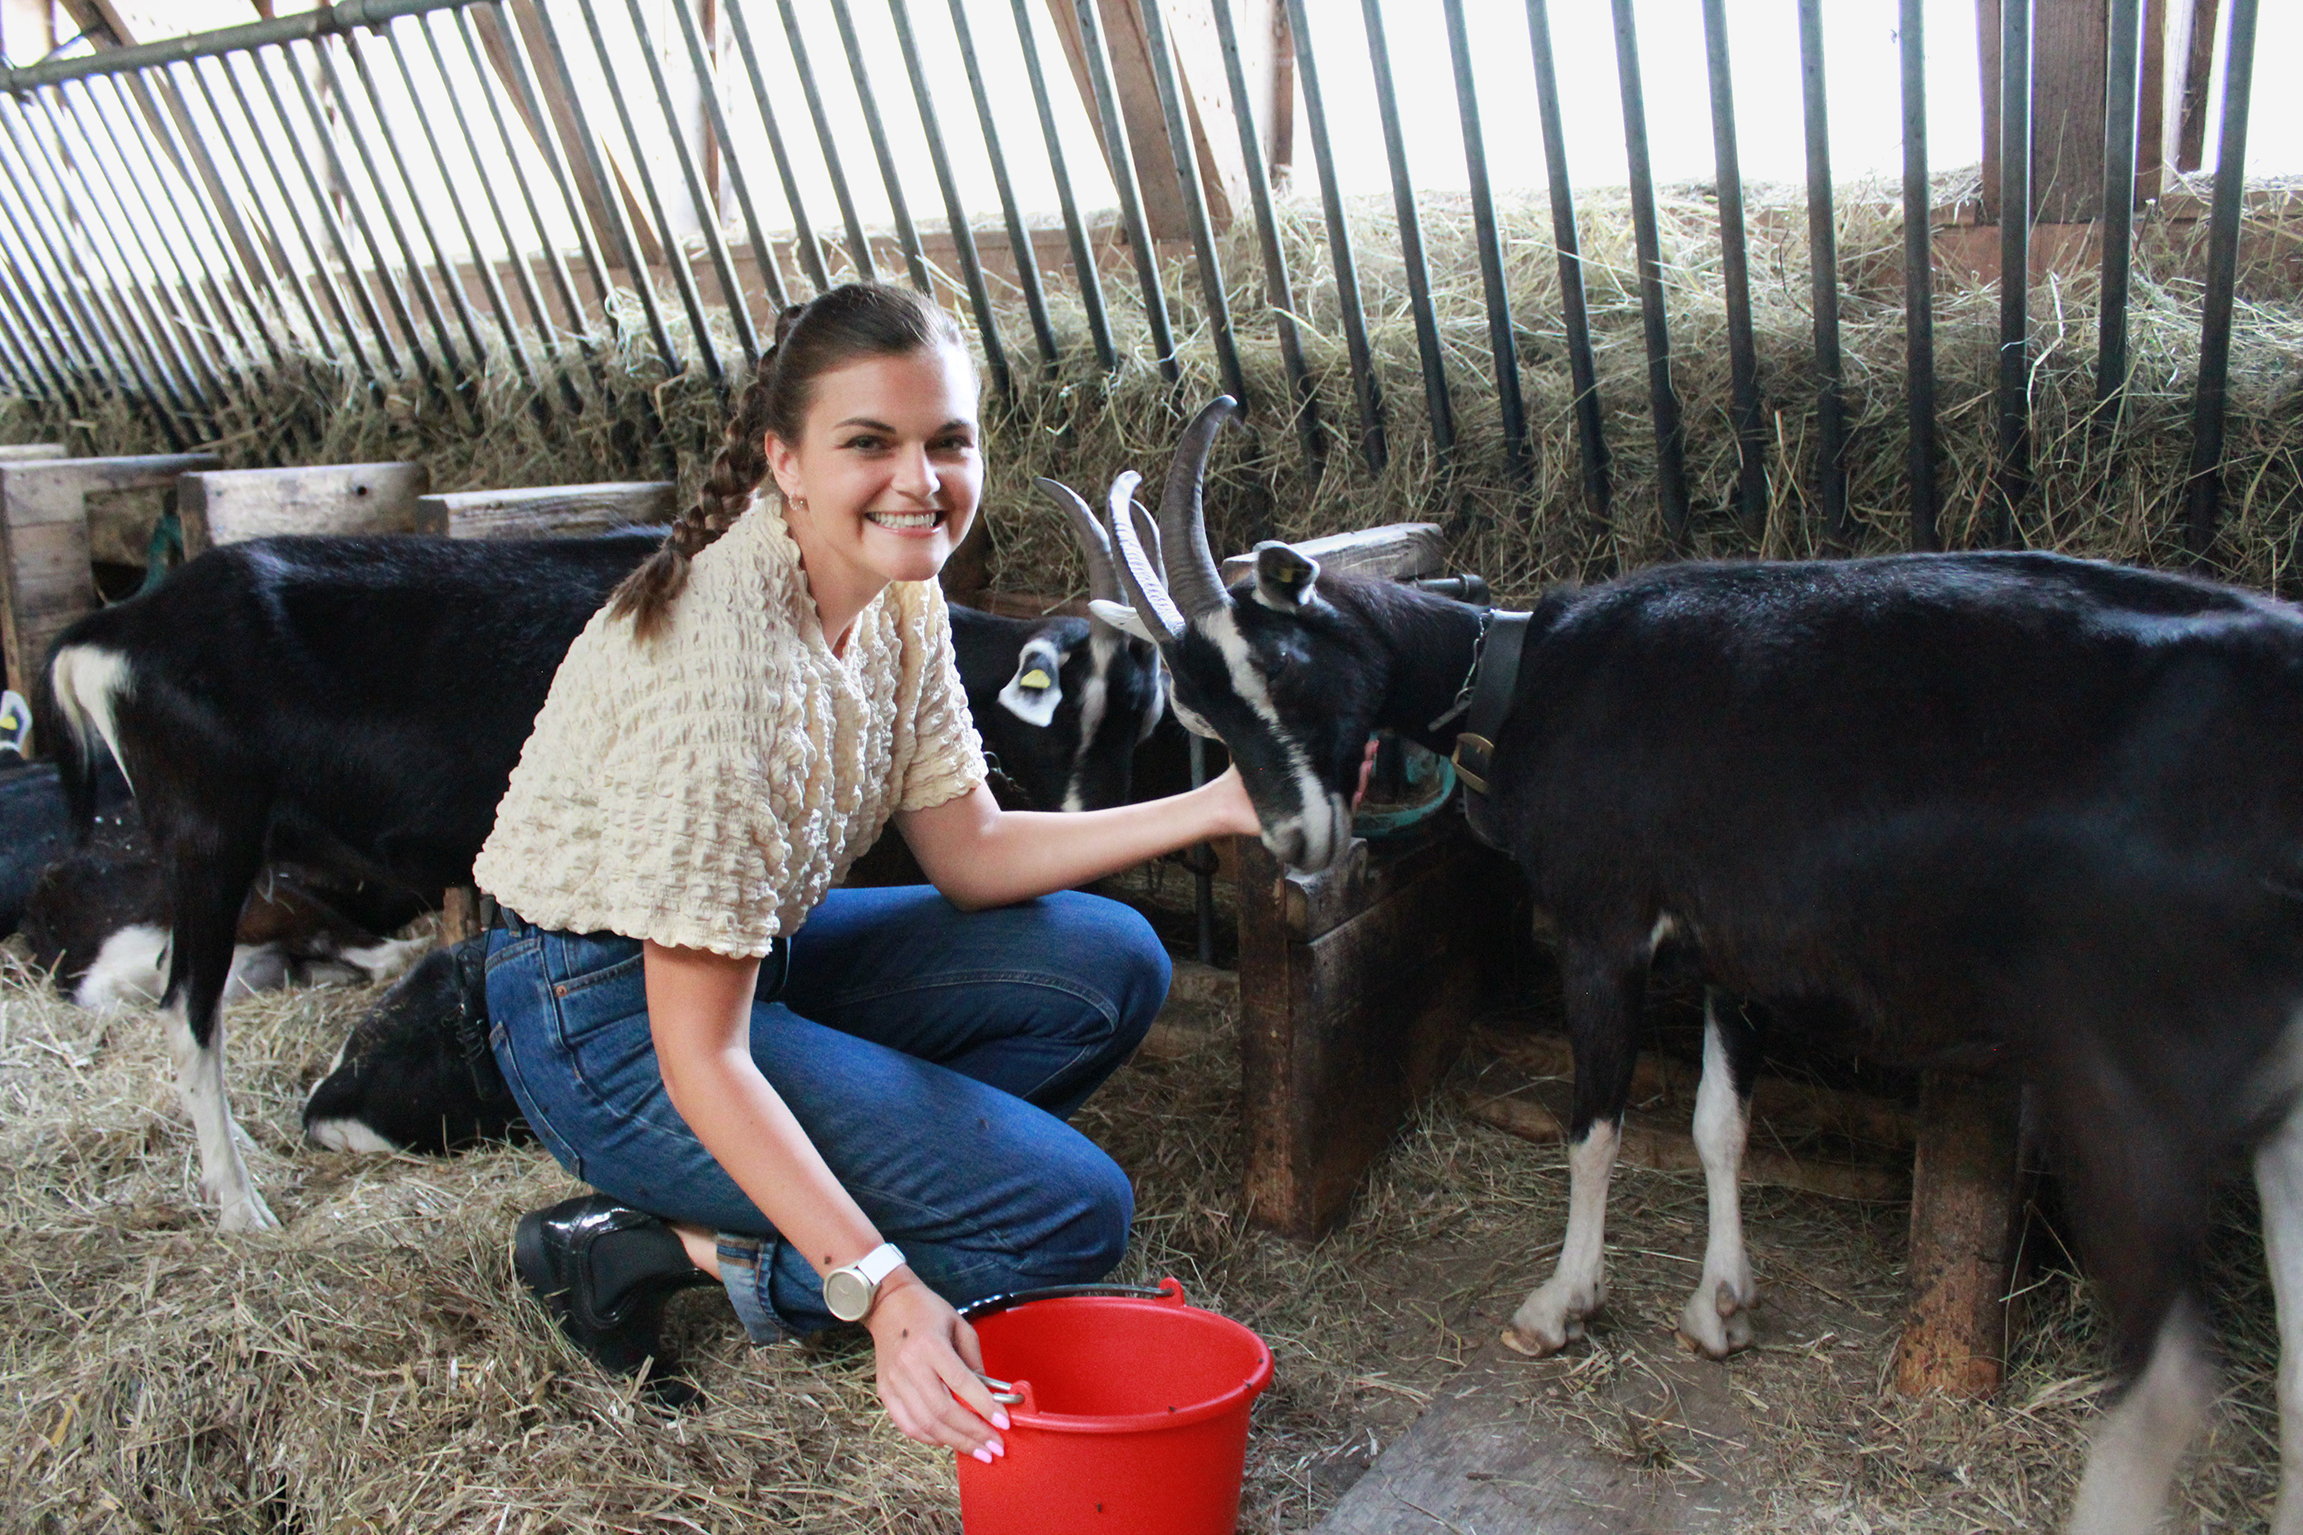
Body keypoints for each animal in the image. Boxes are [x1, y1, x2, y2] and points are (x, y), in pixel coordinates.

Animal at [40, 493, 1160, 1227]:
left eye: (1149, 722)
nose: (1088, 828)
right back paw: (240, 1205)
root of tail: (118, 628)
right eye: (1060, 707)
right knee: (188, 1006)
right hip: (209, 833)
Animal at [1094, 396, 2303, 1535]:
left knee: (2168, 1380)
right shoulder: (1733, 941)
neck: (1526, 677)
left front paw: (1561, 1303)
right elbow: (1721, 1121)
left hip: (2128, 1070)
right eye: (1197, 706)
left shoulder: (1601, 923)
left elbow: (1595, 1123)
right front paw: (1721, 1304)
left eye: (1282, 662)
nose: (1296, 841)